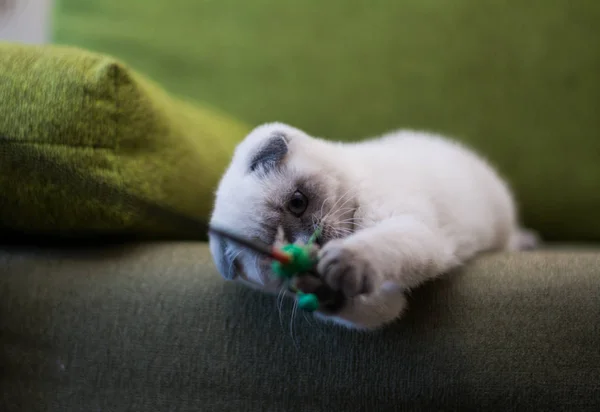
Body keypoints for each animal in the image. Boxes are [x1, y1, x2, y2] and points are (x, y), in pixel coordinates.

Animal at [207, 121, 540, 328]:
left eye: (297, 203)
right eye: (276, 253)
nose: (313, 245)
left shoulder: (412, 227)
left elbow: (375, 246)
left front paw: (342, 261)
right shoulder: (388, 299)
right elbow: (362, 307)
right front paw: (323, 285)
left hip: (499, 222)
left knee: (510, 237)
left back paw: (527, 242)